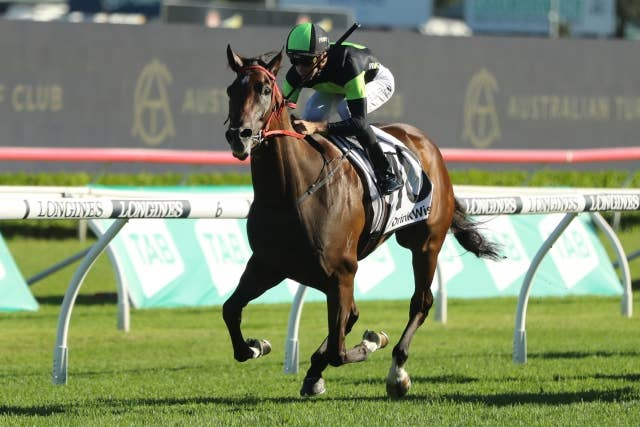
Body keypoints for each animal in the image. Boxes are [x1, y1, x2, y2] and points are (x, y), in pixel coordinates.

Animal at [222, 45, 501, 398]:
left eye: (264, 89)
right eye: (231, 90)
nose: (239, 136)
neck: (291, 192)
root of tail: (426, 143)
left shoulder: (340, 273)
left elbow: (340, 350)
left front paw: (372, 341)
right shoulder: (268, 264)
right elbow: (231, 311)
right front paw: (257, 345)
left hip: (425, 243)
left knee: (421, 302)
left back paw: (397, 372)